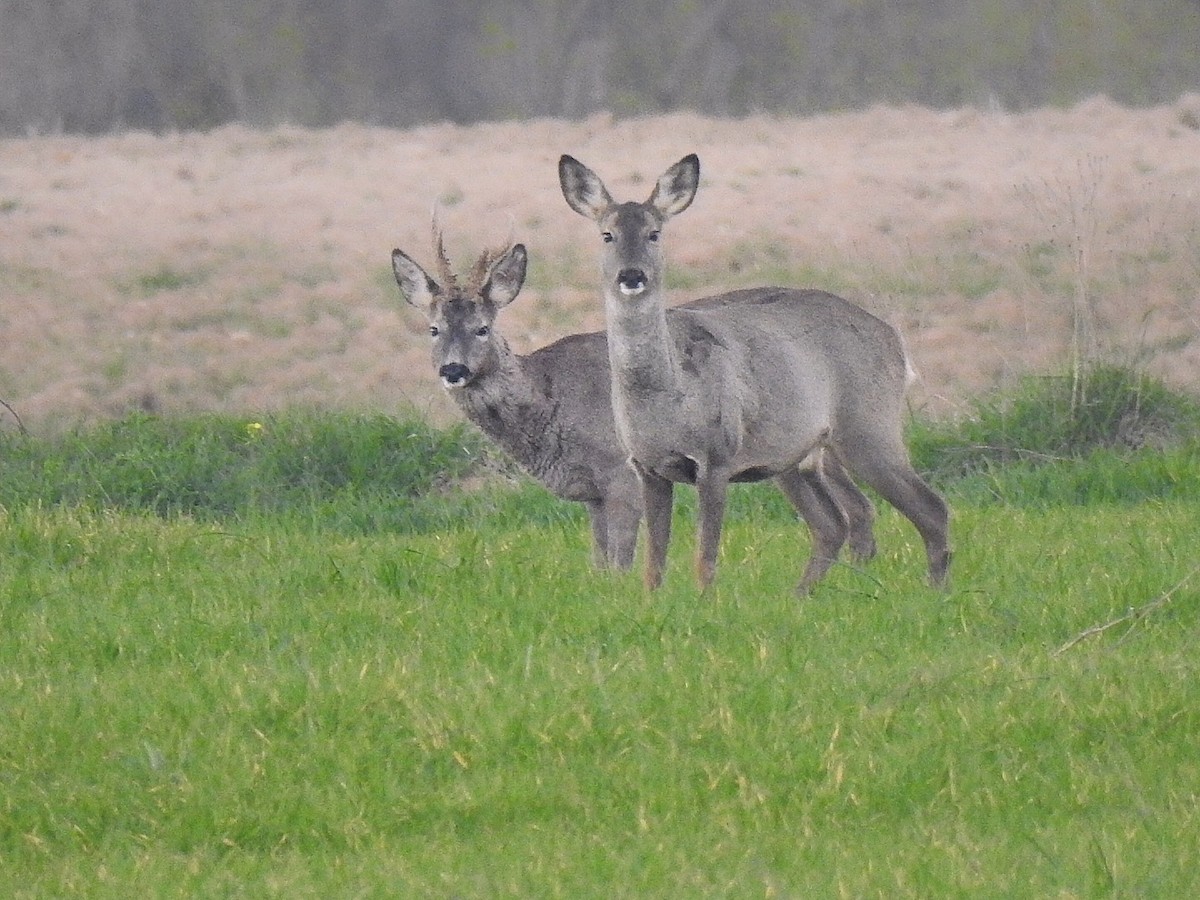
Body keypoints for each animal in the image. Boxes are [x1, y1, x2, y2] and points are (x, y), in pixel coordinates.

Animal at [390, 225, 880, 572]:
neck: (551, 401)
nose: (453, 370)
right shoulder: (592, 493)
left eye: (482, 328)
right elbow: (598, 563)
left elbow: (621, 561)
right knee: (858, 509)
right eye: (433, 329)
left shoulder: (620, 472)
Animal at [558, 153, 950, 594]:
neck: (664, 398)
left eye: (654, 233)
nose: (631, 275)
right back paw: (802, 596)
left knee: (930, 508)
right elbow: (653, 561)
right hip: (795, 455)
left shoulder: (717, 456)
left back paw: (936, 592)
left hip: (868, 425)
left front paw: (704, 600)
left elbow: (705, 554)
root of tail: (895, 340)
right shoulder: (648, 466)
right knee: (835, 522)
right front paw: (652, 600)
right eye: (606, 235)